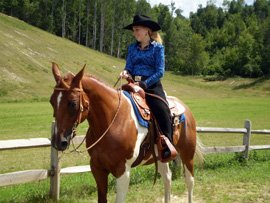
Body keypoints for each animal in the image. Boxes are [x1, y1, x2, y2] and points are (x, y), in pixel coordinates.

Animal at [50, 62, 202, 202]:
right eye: (52, 101)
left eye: (73, 103)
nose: (59, 142)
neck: (112, 121)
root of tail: (184, 107)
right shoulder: (97, 168)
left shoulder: (123, 170)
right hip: (161, 157)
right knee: (167, 178)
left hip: (187, 154)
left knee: (189, 181)